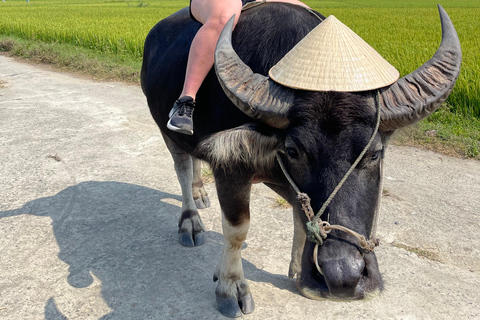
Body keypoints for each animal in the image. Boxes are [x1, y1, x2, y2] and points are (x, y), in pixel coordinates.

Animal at [140, 3, 462, 318]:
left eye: (374, 153)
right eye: (294, 150)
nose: (342, 276)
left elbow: (299, 213)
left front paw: (297, 270)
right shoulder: (230, 167)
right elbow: (237, 229)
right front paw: (230, 287)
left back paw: (199, 192)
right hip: (166, 129)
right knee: (182, 166)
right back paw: (190, 220)